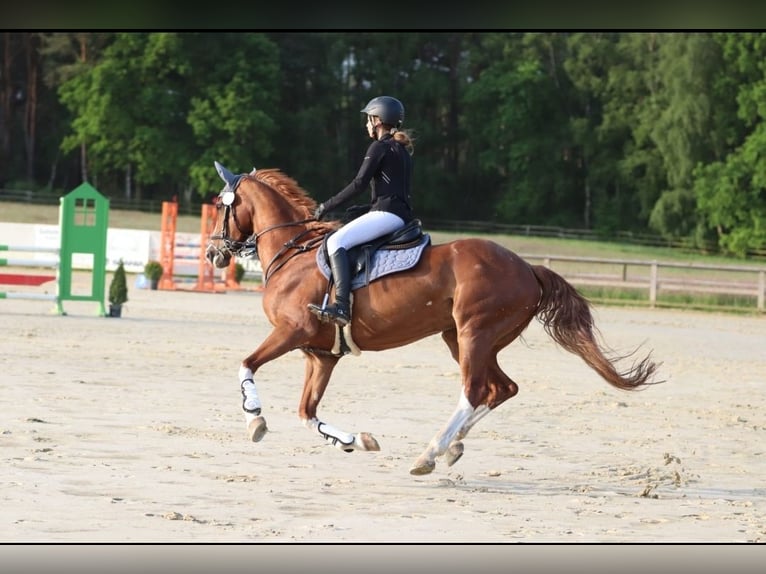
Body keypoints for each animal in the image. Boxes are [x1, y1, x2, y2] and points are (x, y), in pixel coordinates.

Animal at [206, 162, 660, 476]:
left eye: (221, 206)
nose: (213, 253)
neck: (293, 252)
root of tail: (528, 268)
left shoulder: (291, 331)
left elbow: (246, 366)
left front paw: (254, 417)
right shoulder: (320, 355)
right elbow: (307, 412)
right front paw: (355, 441)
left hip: (474, 332)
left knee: (475, 391)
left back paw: (430, 453)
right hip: (462, 338)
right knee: (502, 388)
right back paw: (454, 447)